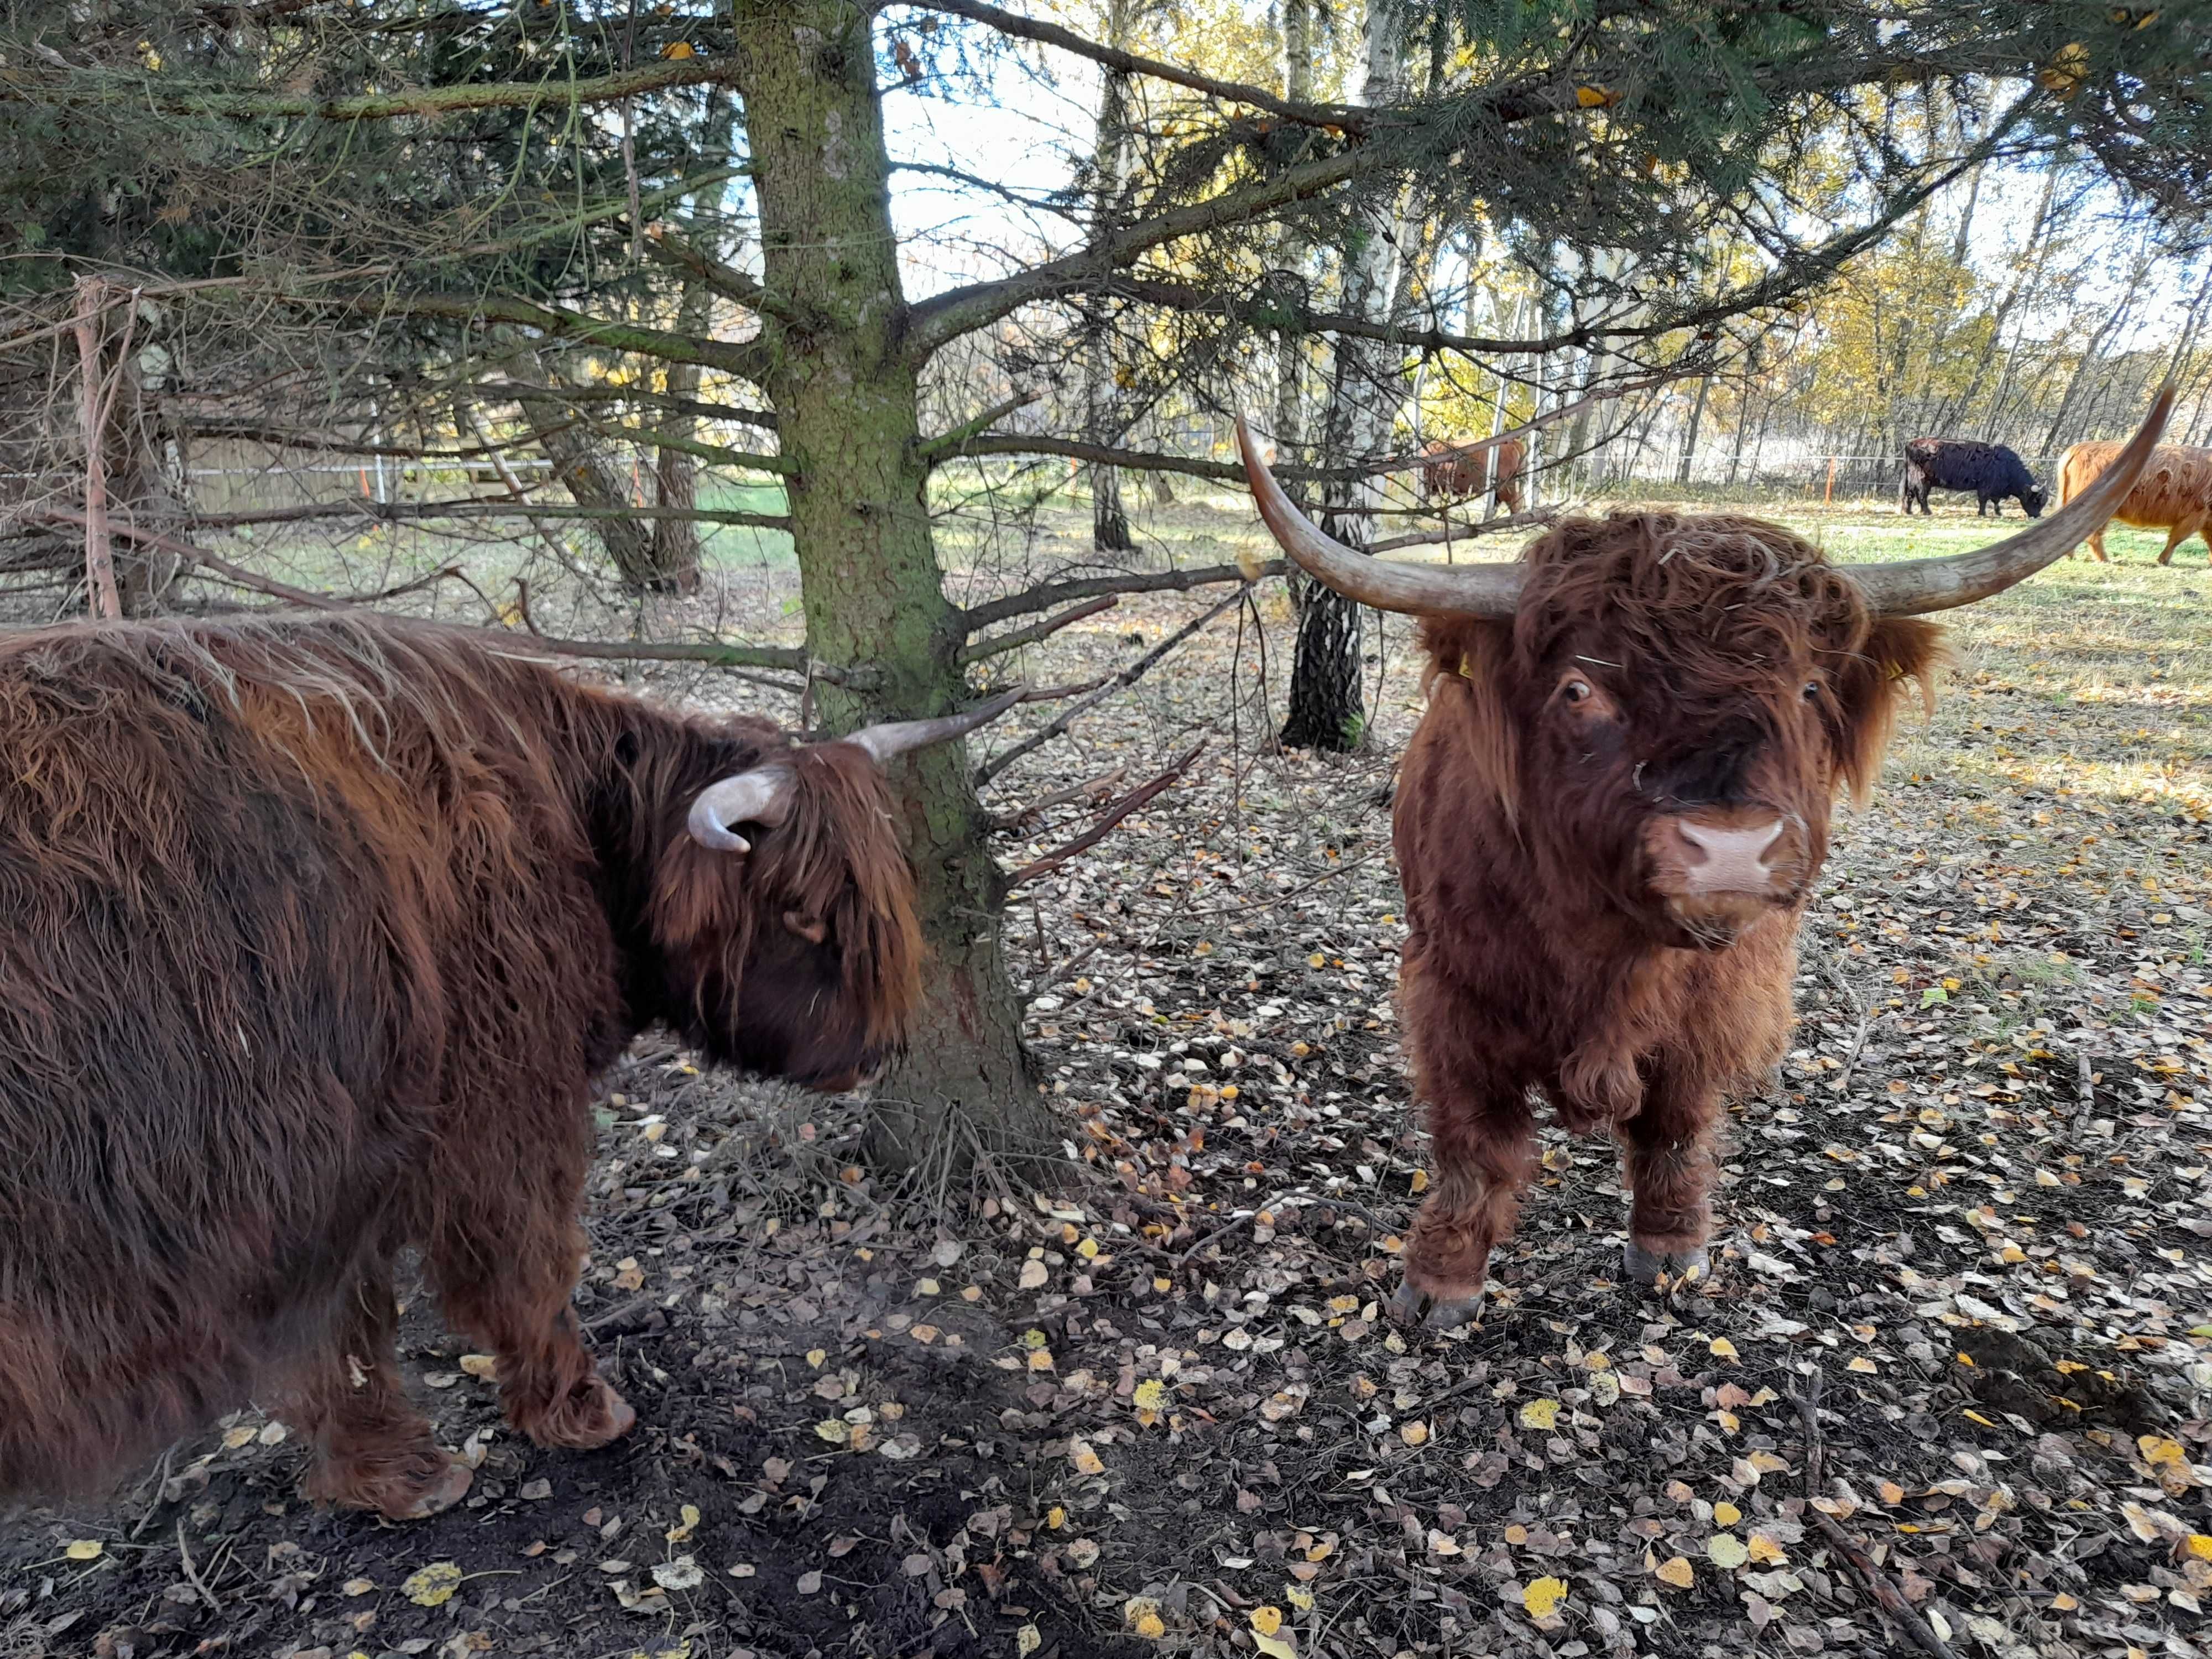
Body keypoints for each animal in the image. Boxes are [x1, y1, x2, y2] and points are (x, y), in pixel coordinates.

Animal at [0, 619, 1013, 1522]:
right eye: (802, 911)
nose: (874, 1052)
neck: (577, 834)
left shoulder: (332, 1176)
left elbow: (342, 1337)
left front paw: (391, 1478)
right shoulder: (497, 1112)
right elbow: (528, 1269)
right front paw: (579, 1412)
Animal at [2053, 436, 2212, 566]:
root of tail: (2076, 448)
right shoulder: (2197, 513)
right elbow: (2177, 539)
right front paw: (2163, 560)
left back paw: (2071, 556)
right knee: (2092, 535)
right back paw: (2104, 559)